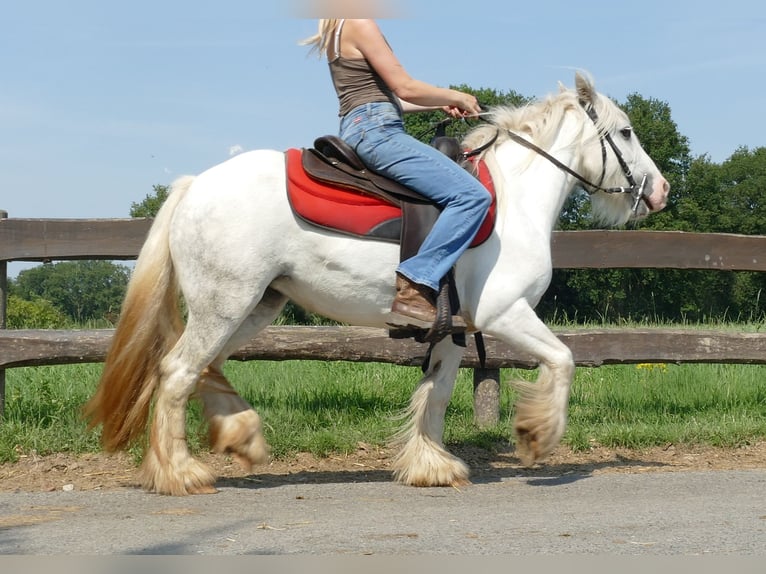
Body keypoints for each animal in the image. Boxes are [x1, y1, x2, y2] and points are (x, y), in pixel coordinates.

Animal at [85, 72, 672, 496]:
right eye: (625, 132)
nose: (661, 190)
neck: (512, 201)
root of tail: (194, 185)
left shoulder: (454, 329)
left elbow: (436, 393)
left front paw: (431, 467)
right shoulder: (503, 313)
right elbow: (563, 360)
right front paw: (535, 437)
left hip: (253, 308)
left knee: (205, 368)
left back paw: (241, 438)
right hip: (225, 306)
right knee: (178, 372)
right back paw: (179, 473)